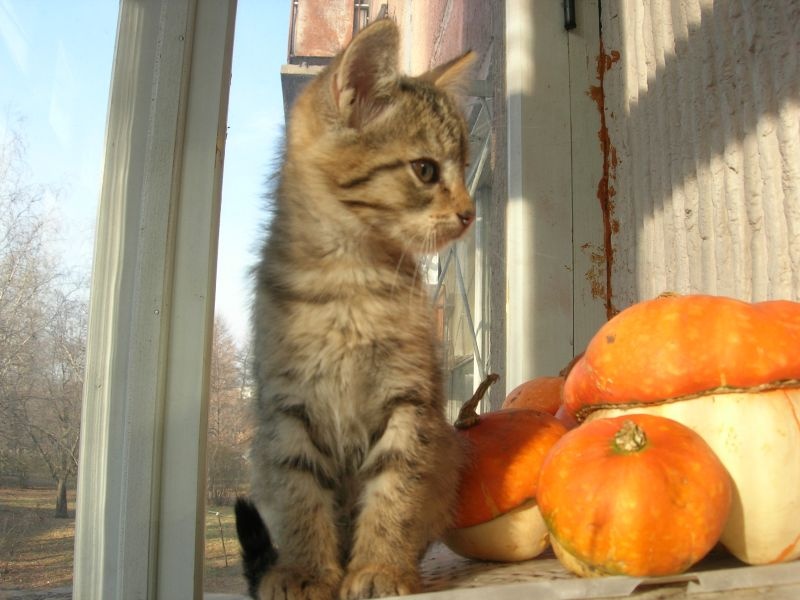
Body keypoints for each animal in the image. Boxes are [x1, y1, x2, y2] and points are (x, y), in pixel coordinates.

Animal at [239, 18, 476, 600]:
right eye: (425, 169)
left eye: (464, 168)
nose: (469, 213)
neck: (349, 280)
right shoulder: (288, 408)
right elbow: (301, 495)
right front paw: (306, 571)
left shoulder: (409, 402)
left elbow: (396, 488)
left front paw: (380, 566)